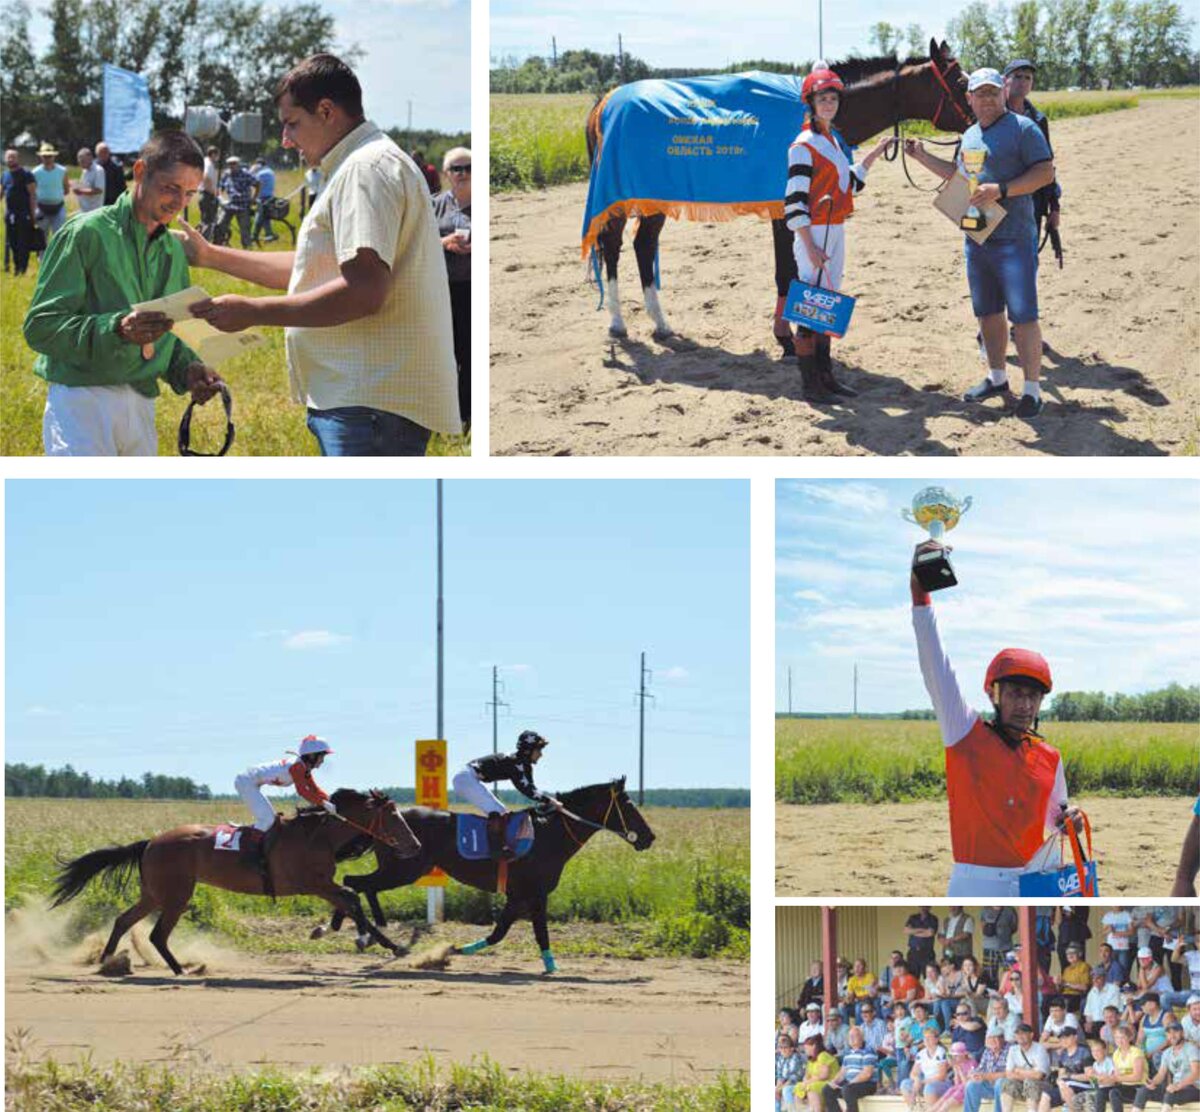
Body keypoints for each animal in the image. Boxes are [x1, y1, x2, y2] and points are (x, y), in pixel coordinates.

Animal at [51, 791, 422, 974]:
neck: (318, 835)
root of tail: (150, 842)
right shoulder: (313, 883)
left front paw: (383, 943)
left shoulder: (321, 884)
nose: (416, 845)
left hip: (155, 894)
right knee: (157, 934)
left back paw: (108, 960)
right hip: (176, 895)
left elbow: (350, 899)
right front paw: (377, 942)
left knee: (124, 919)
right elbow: (351, 898)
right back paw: (180, 969)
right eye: (393, 815)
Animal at [309, 772, 648, 974]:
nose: (649, 837)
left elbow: (499, 932)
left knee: (359, 886)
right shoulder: (535, 893)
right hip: (403, 868)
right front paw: (552, 968)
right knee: (354, 883)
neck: (548, 834)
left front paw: (456, 949)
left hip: (402, 869)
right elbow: (537, 931)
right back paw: (356, 933)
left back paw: (360, 931)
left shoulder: (518, 895)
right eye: (629, 805)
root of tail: (383, 819)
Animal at [583, 38, 974, 350]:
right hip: (619, 199)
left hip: (654, 199)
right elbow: (787, 272)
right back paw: (617, 323)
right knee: (613, 247)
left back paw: (661, 324)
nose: (977, 120)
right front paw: (786, 337)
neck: (809, 116)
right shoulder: (786, 212)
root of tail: (605, 102)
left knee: (643, 245)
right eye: (959, 81)